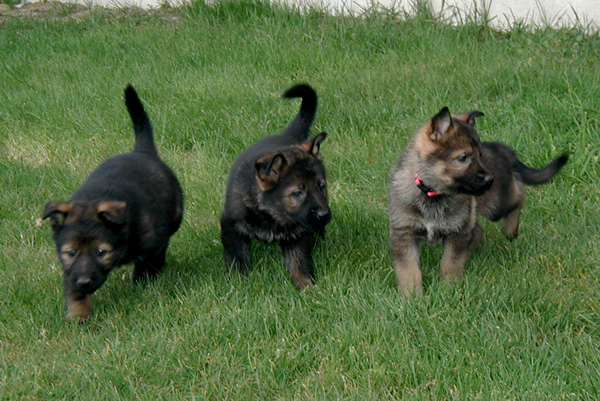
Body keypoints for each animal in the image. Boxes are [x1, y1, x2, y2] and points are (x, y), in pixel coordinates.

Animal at [43, 86, 183, 320]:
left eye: (101, 252)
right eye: (71, 252)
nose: (84, 282)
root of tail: (142, 151)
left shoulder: (152, 244)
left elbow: (147, 265)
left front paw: (142, 285)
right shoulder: (70, 271)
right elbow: (73, 291)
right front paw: (79, 315)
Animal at [221, 83, 332, 288]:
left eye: (321, 186)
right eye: (298, 193)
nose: (324, 214)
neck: (272, 216)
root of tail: (286, 136)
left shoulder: (300, 233)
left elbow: (299, 263)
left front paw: (307, 287)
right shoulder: (231, 226)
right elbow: (237, 259)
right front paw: (239, 285)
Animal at [390, 106, 568, 294]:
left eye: (480, 156)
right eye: (463, 157)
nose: (490, 180)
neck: (433, 193)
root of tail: (502, 149)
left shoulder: (457, 230)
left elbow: (450, 263)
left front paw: (450, 288)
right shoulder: (404, 233)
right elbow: (409, 268)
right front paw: (411, 294)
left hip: (496, 204)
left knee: (519, 195)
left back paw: (510, 229)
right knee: (479, 231)